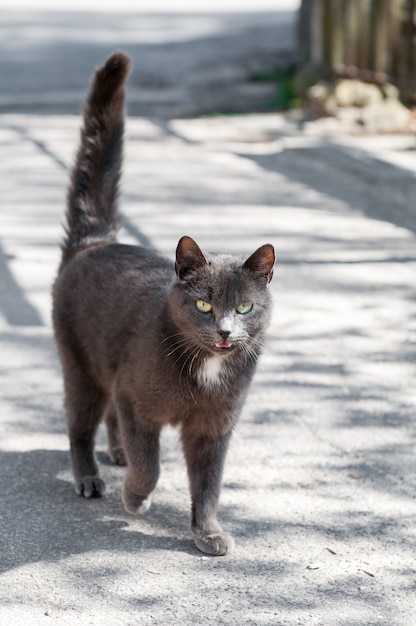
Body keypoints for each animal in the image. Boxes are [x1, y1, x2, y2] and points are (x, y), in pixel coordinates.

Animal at [52, 51, 276, 552]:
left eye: (245, 308)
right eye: (204, 305)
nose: (226, 331)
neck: (205, 370)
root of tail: (95, 242)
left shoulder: (214, 427)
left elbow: (209, 483)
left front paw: (208, 533)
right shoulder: (138, 402)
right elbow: (150, 464)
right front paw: (136, 499)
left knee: (109, 417)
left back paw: (115, 454)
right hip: (81, 365)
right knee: (80, 424)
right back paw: (90, 477)